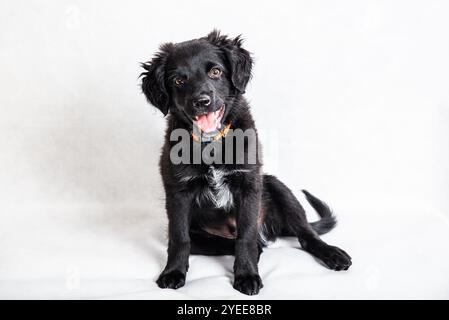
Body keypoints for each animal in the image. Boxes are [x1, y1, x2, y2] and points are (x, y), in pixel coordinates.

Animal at [140, 30, 350, 296]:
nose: (201, 101)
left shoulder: (250, 185)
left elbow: (246, 236)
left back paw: (332, 254)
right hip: (201, 236)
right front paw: (173, 272)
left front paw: (247, 275)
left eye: (216, 71)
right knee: (238, 243)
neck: (212, 144)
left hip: (276, 187)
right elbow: (179, 238)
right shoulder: (178, 192)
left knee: (305, 234)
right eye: (178, 80)